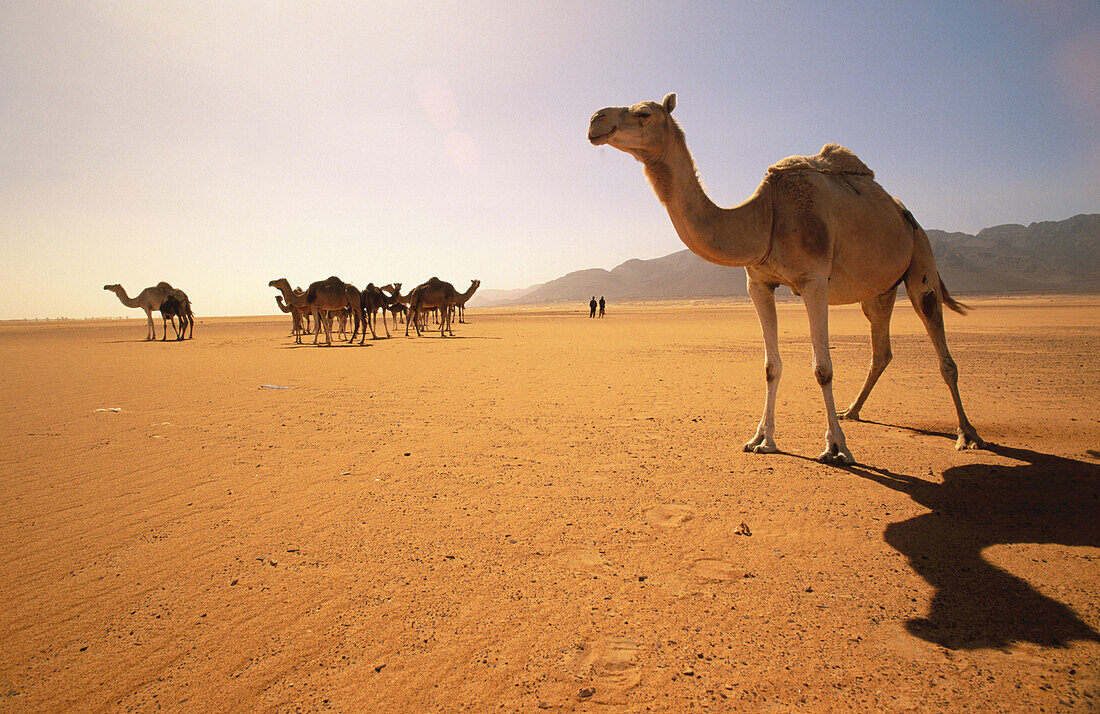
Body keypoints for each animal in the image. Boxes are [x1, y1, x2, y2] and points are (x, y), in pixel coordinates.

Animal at [589, 93, 985, 462]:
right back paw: (853, 411)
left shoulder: (814, 281)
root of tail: (904, 212)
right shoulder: (758, 283)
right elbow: (770, 365)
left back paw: (967, 435)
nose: (595, 119)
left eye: (644, 113)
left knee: (941, 347)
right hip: (880, 291)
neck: (766, 217)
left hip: (921, 258)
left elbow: (823, 368)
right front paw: (761, 440)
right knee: (881, 349)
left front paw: (837, 448)